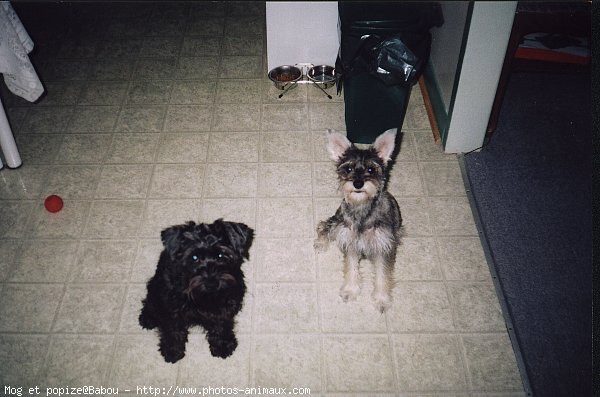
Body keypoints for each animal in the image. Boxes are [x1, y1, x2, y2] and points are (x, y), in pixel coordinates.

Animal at [139, 218, 253, 360]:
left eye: (221, 255)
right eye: (194, 257)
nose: (211, 283)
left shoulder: (226, 304)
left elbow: (221, 324)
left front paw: (222, 345)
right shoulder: (171, 306)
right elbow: (172, 328)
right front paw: (172, 349)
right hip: (155, 288)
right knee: (149, 301)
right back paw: (147, 318)